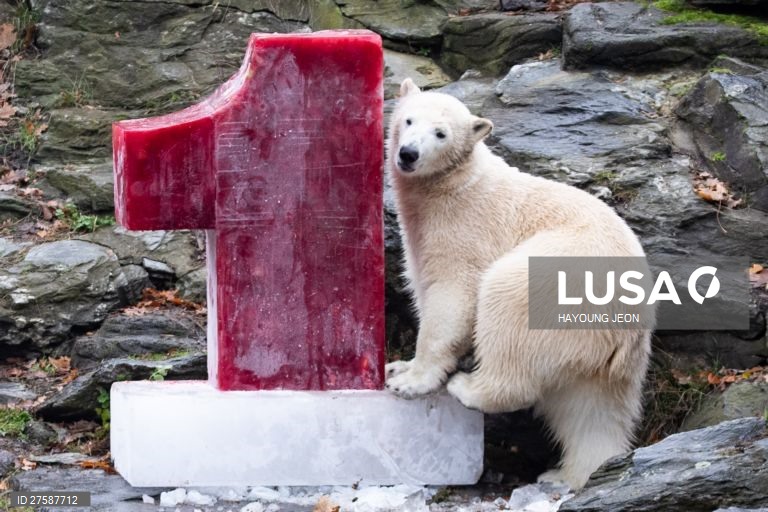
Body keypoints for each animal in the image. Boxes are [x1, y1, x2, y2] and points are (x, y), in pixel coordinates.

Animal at [384, 78, 653, 490]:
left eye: (441, 133)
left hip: (560, 278)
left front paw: (410, 381)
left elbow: (452, 296)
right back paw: (571, 473)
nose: (409, 154)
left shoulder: (464, 228)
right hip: (608, 357)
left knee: (508, 304)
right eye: (408, 119)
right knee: (592, 410)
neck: (452, 185)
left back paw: (470, 387)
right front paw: (400, 366)